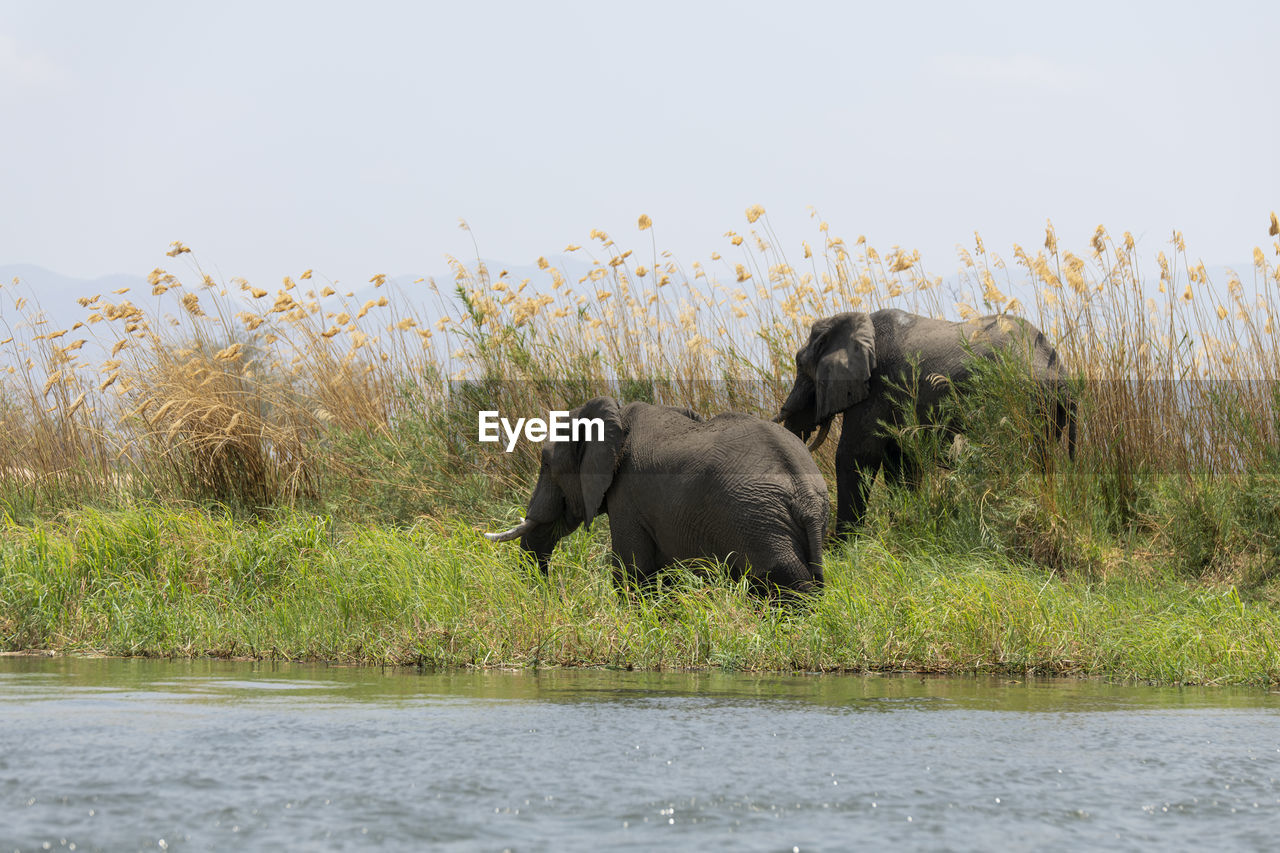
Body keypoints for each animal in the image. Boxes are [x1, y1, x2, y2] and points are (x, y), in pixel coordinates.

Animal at [481, 394, 829, 594]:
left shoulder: (628, 494)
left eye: (545, 462)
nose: (551, 594)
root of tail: (806, 497)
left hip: (756, 521)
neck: (618, 416)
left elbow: (631, 570)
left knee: (782, 576)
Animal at [773, 306, 1075, 532]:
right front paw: (903, 527)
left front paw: (844, 548)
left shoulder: (877, 387)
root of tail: (1059, 368)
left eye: (801, 365)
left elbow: (856, 455)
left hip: (1022, 402)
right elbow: (901, 461)